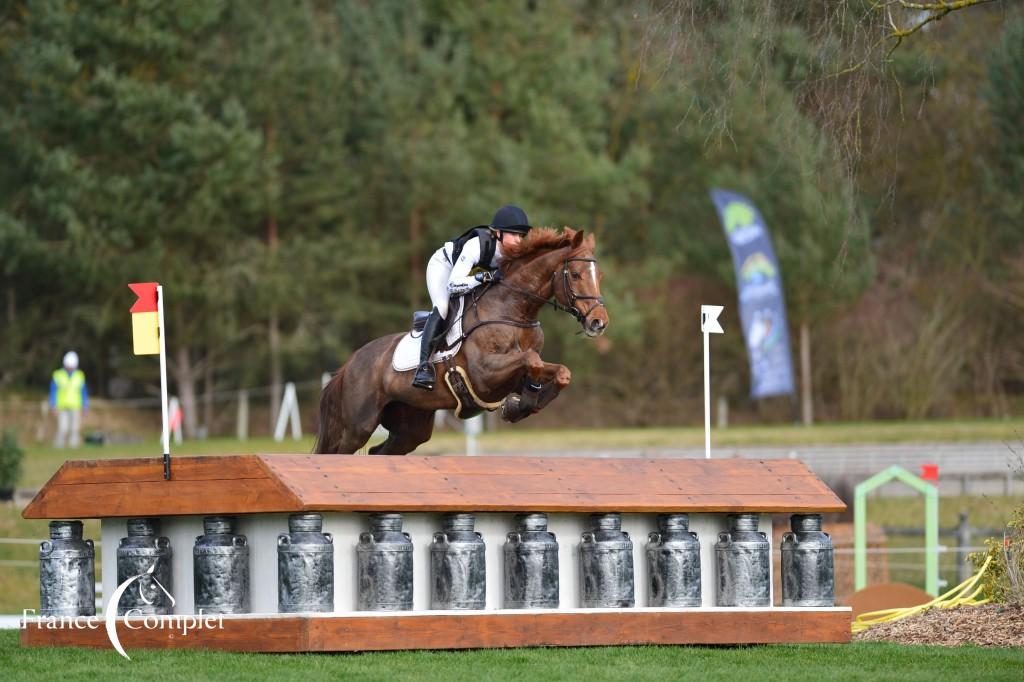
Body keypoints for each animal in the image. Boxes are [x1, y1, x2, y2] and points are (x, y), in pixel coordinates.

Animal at [313, 225, 606, 454]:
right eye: (576, 275)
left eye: (599, 276)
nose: (599, 322)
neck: (514, 311)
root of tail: (350, 363)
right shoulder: (484, 374)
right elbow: (531, 359)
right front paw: (519, 404)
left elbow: (558, 372)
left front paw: (520, 406)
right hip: (358, 425)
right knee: (338, 451)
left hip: (411, 425)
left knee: (380, 451)